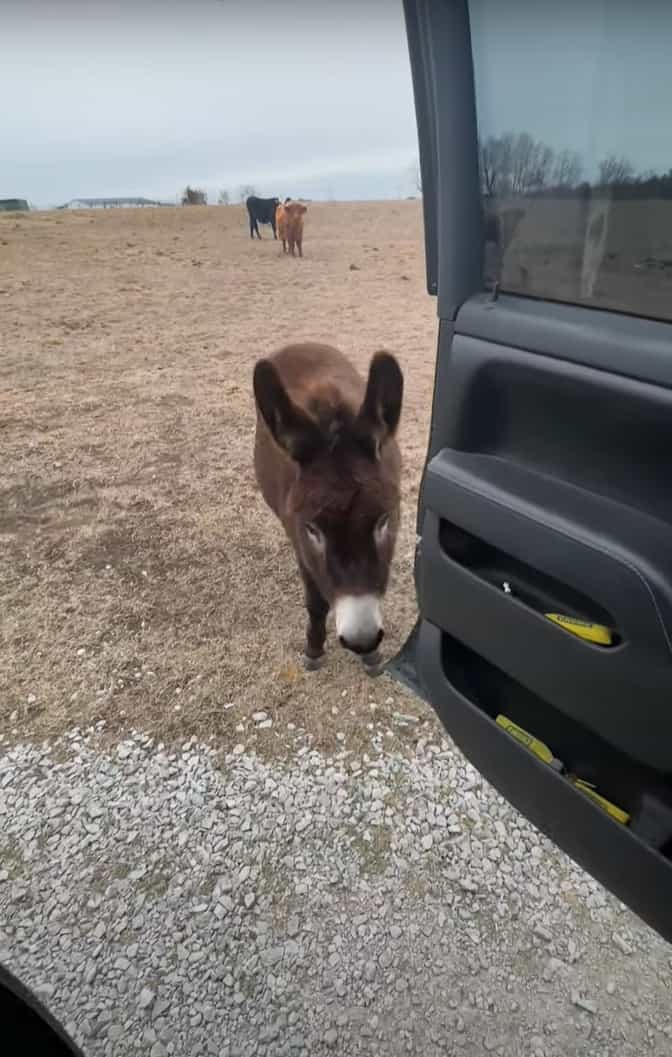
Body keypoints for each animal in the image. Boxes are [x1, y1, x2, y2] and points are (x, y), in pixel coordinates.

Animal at [250, 342, 399, 672]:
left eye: (384, 519)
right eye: (312, 529)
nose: (362, 641)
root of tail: (301, 343)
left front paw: (371, 657)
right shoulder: (300, 542)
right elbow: (316, 603)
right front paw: (314, 649)